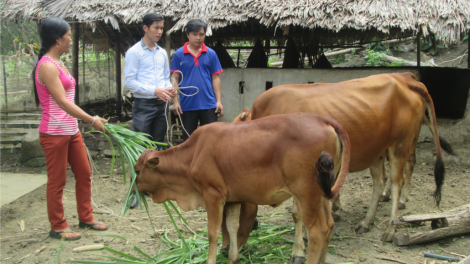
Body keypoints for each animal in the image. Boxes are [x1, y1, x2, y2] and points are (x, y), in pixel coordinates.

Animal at [134, 113, 350, 264]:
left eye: (137, 170)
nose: (135, 187)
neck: (192, 154)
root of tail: (322, 119)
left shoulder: (213, 195)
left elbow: (213, 233)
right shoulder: (233, 200)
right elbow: (232, 228)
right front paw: (232, 257)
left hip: (307, 194)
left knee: (317, 232)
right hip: (321, 193)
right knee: (329, 225)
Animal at [233, 72, 446, 243]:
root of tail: (402, 80)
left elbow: (298, 213)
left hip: (400, 146)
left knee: (397, 182)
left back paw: (391, 229)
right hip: (376, 151)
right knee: (379, 183)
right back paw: (367, 222)